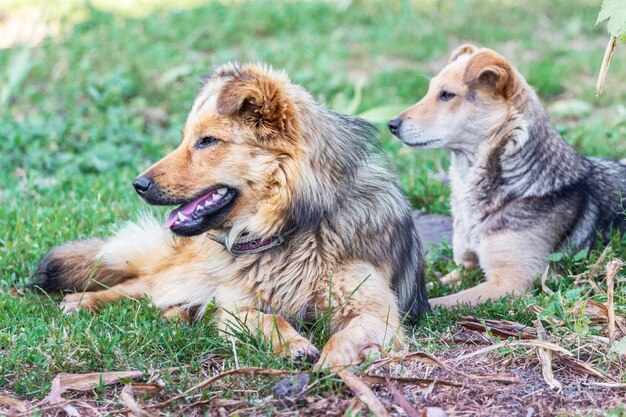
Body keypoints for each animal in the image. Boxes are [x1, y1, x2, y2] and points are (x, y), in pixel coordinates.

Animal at [388, 44, 624, 306]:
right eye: (429, 91)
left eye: (447, 95)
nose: (392, 125)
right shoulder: (464, 267)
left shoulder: (509, 283)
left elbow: (438, 302)